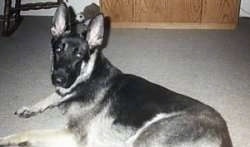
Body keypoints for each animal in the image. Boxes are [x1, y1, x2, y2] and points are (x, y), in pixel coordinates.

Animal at [0, 3, 233, 147]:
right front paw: (31, 107)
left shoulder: (73, 135)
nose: (58, 78)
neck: (87, 79)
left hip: (142, 138)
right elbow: (50, 97)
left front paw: (10, 138)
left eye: (79, 54)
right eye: (58, 49)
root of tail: (225, 137)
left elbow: (30, 132)